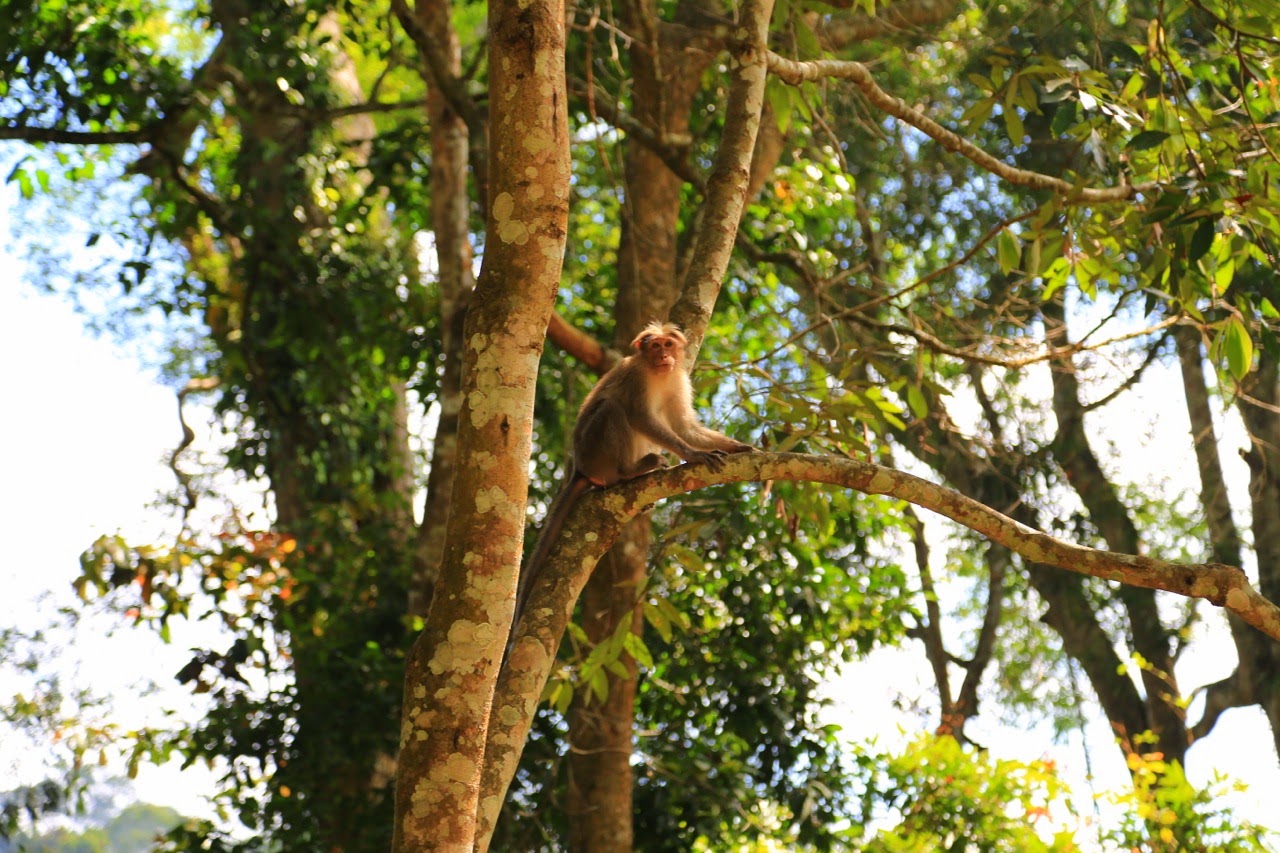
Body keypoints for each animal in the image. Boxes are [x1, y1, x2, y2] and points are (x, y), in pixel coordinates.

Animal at [510, 322, 753, 647]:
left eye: (668, 344)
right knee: (613, 408)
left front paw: (735, 447)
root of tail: (580, 468)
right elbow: (641, 417)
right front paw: (693, 454)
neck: (656, 373)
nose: (664, 355)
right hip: (596, 451)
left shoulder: (678, 380)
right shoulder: (636, 378)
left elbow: (684, 427)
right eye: (655, 346)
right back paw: (628, 472)